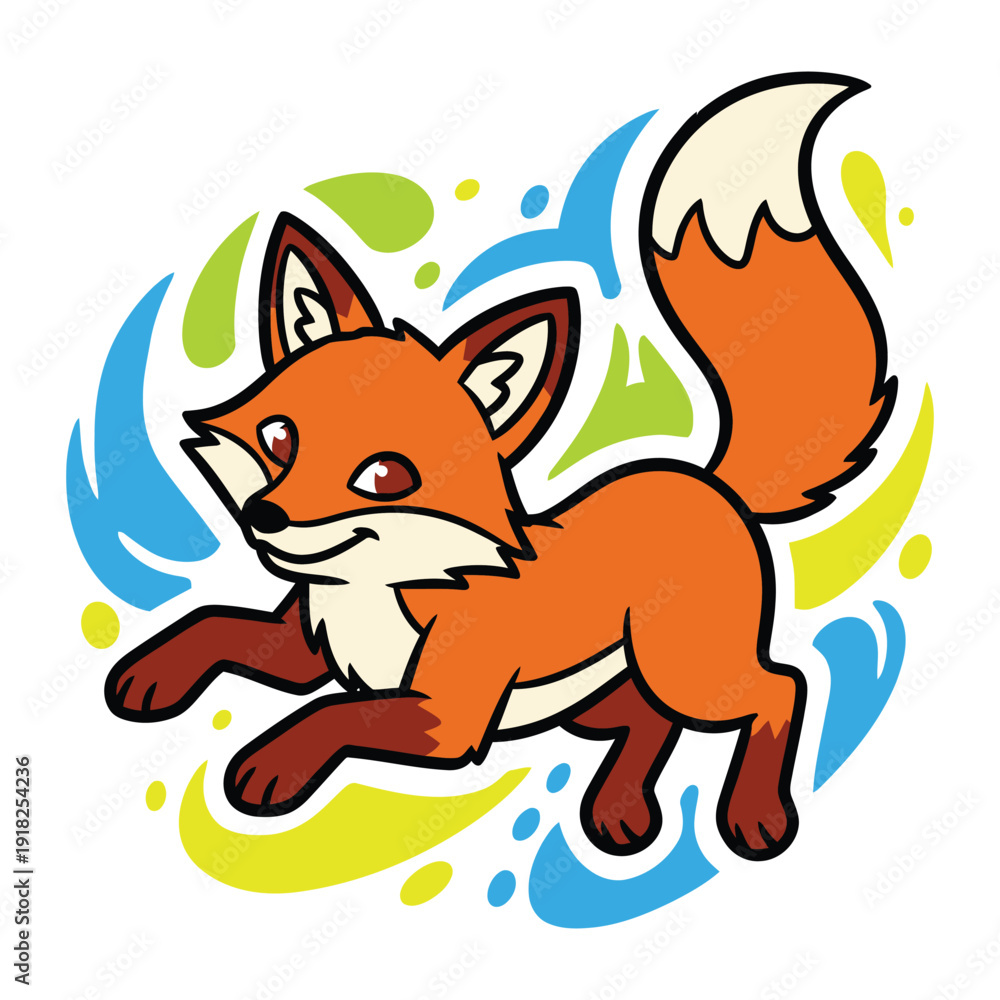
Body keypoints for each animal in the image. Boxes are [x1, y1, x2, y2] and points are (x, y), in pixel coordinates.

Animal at [106, 73, 894, 861]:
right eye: (278, 437)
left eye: (383, 476)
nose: (264, 517)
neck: (379, 589)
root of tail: (703, 480)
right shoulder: (305, 648)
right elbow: (216, 622)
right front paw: (150, 673)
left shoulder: (445, 718)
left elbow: (336, 715)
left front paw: (272, 762)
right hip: (595, 698)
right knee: (648, 721)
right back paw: (620, 808)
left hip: (688, 671)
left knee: (780, 687)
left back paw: (754, 814)